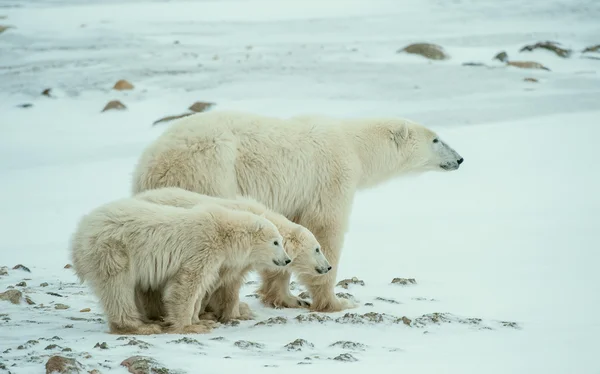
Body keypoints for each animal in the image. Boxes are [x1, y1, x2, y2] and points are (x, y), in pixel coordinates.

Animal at [69, 197, 292, 334]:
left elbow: (200, 287)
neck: (222, 231)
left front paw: (200, 320)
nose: (287, 260)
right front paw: (189, 326)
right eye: (276, 242)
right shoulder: (202, 247)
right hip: (113, 250)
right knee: (118, 288)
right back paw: (139, 327)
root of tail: (79, 232)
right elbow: (187, 283)